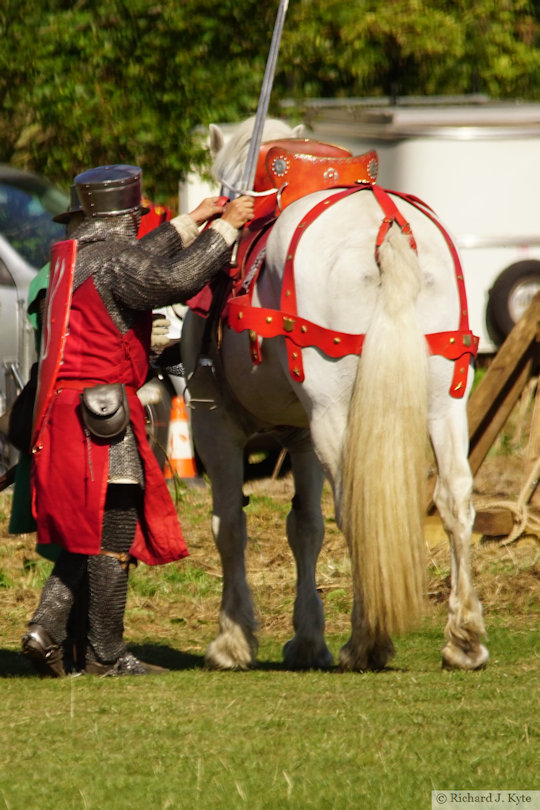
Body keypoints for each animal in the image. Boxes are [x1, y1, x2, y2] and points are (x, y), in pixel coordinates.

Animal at [181, 115, 490, 668]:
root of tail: (388, 225)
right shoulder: (301, 436)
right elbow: (305, 527)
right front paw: (307, 639)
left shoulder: (215, 424)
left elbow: (230, 525)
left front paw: (232, 639)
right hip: (445, 404)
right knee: (456, 499)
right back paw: (464, 638)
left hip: (333, 415)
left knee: (355, 509)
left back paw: (368, 640)